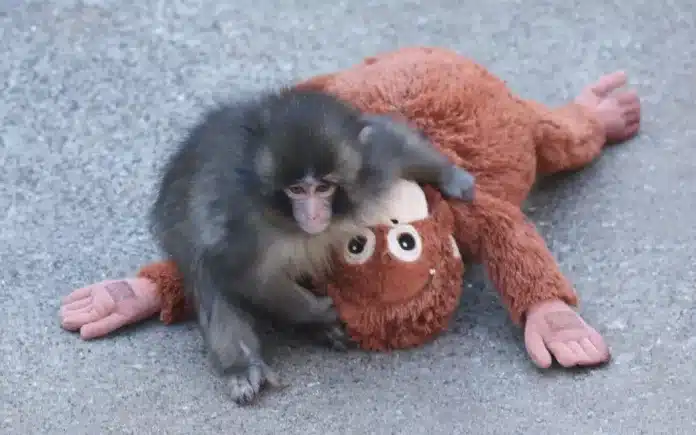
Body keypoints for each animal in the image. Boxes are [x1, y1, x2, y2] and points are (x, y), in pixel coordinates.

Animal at [149, 88, 476, 406]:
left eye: (323, 187)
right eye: (296, 190)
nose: (313, 215)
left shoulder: (371, 164)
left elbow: (393, 140)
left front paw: (451, 176)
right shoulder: (239, 222)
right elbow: (244, 276)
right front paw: (320, 312)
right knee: (207, 276)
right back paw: (243, 365)